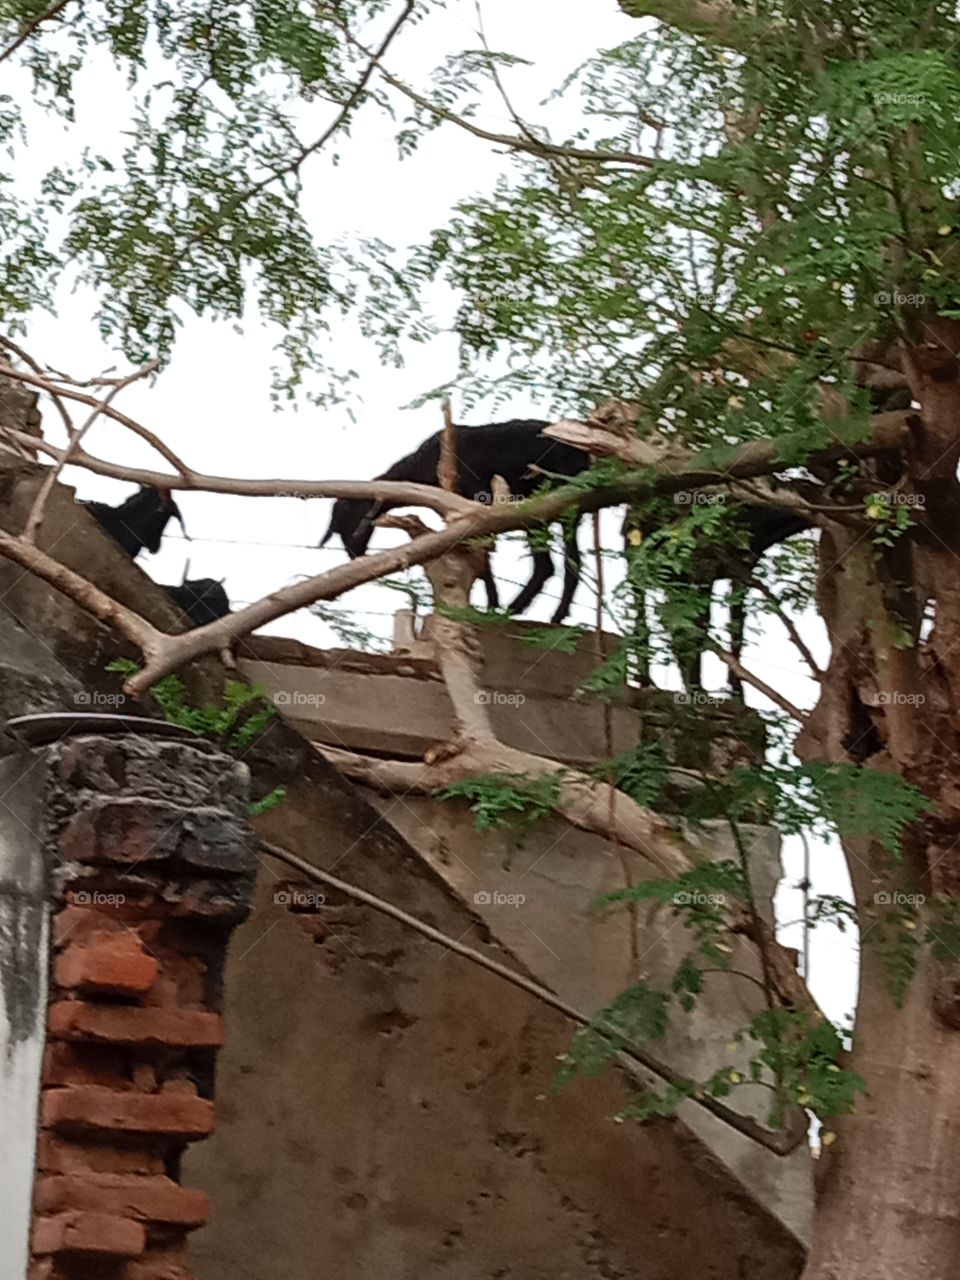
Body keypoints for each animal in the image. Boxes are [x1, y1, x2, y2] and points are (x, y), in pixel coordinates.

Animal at [323, 419, 593, 624]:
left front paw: (490, 604)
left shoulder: (478, 503)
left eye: (348, 517)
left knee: (549, 565)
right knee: (565, 563)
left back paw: (517, 612)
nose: (354, 553)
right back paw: (547, 615)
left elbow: (482, 558)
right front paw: (490, 603)